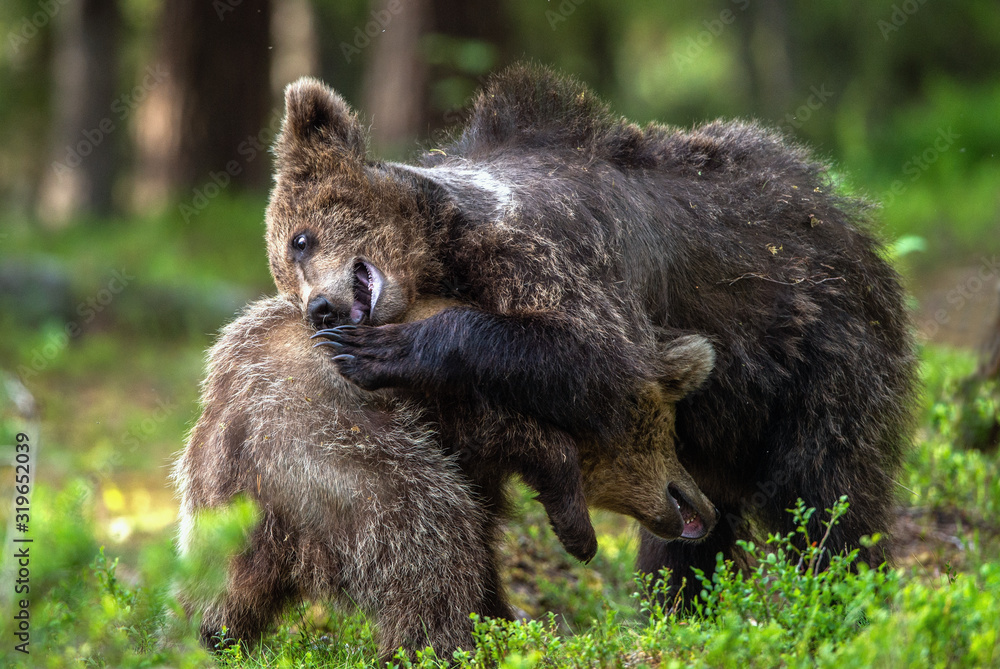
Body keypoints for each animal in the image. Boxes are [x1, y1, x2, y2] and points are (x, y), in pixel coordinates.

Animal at [173, 294, 717, 660]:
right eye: (678, 434)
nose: (708, 511)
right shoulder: (460, 403)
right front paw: (575, 526)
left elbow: (486, 543)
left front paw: (502, 622)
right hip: (343, 457)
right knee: (434, 554)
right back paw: (438, 648)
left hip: (223, 504)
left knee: (220, 593)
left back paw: (203, 640)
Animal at [274, 64, 916, 605]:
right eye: (283, 270)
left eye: (300, 238)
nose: (320, 310)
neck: (449, 246)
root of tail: (841, 209)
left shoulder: (558, 252)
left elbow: (597, 359)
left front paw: (380, 351)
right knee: (688, 539)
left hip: (820, 350)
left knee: (828, 488)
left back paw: (843, 592)